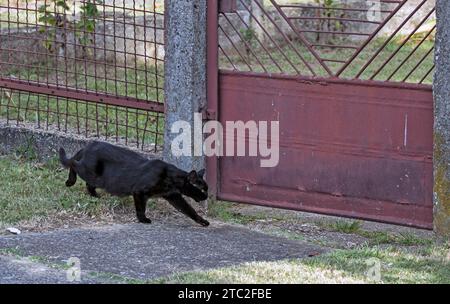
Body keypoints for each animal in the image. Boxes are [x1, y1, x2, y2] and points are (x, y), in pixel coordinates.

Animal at [57, 142, 209, 226]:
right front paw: (143, 219)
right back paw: (70, 181)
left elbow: (189, 210)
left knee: (88, 183)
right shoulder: (139, 191)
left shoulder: (173, 196)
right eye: (202, 190)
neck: (171, 180)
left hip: (98, 178)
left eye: (207, 189)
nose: (207, 196)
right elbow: (141, 208)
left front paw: (202, 221)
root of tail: (88, 145)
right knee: (73, 163)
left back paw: (95, 196)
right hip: (90, 172)